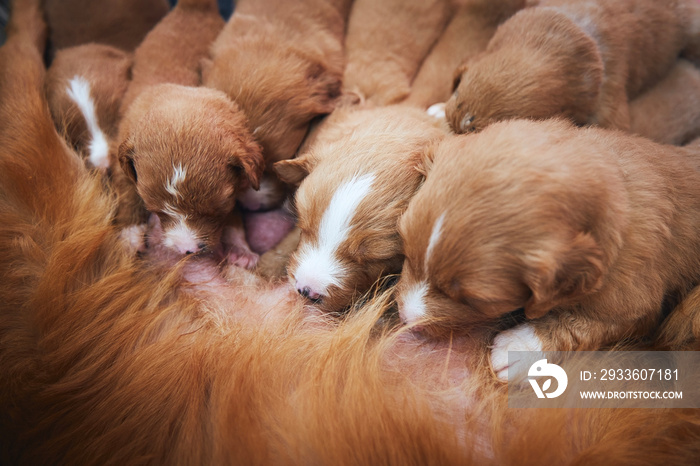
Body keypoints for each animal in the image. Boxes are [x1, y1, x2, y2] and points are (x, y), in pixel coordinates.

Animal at [119, 83, 264, 258]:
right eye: (156, 210)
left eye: (218, 208)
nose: (187, 249)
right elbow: (128, 194)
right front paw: (130, 237)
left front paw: (240, 250)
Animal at [394, 117, 700, 378]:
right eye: (405, 250)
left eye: (474, 301)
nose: (406, 318)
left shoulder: (635, 302)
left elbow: (583, 324)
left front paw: (517, 348)